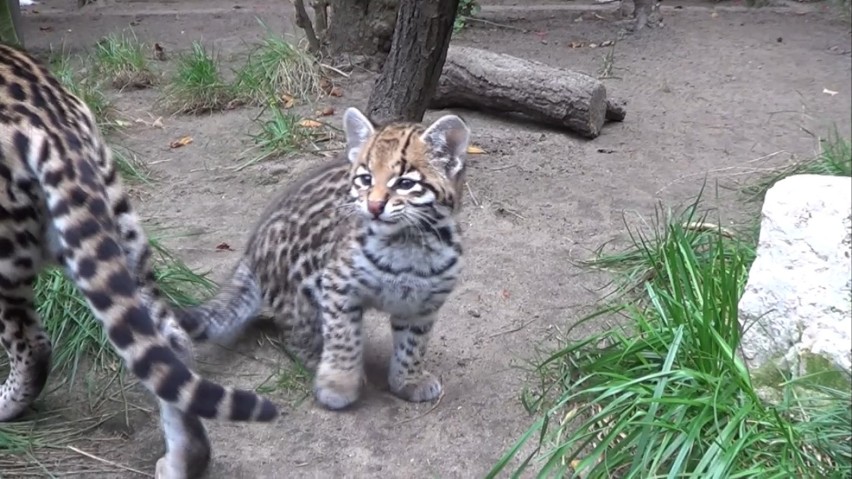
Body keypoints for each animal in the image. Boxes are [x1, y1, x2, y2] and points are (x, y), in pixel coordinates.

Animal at [176, 107, 470, 410]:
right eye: (365, 179)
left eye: (405, 183)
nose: (374, 206)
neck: (407, 244)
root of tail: (253, 246)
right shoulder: (338, 286)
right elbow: (344, 337)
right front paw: (338, 384)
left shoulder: (424, 304)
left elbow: (413, 345)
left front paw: (408, 380)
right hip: (301, 292)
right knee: (295, 334)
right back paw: (316, 358)